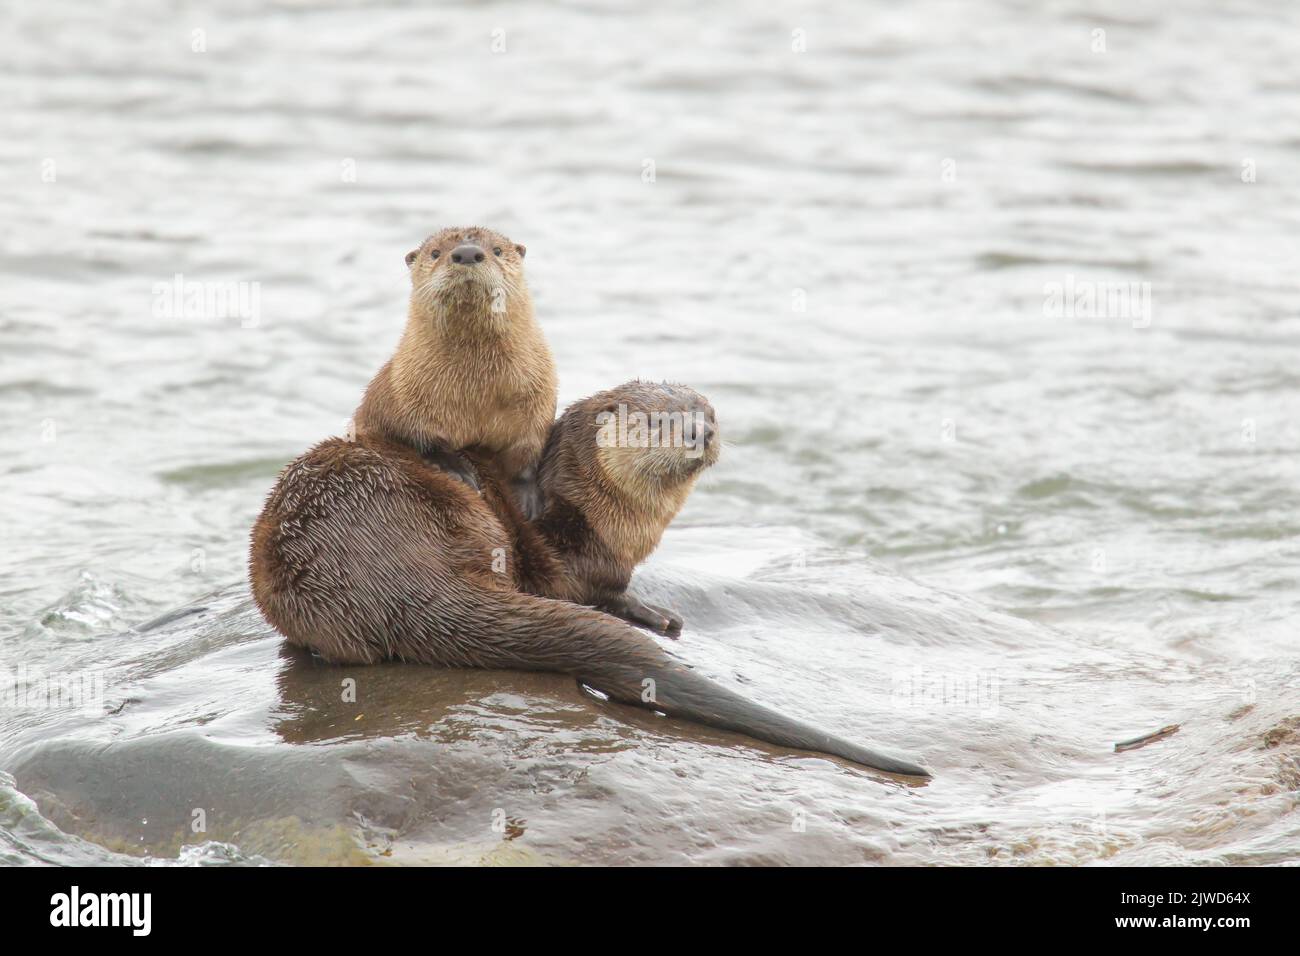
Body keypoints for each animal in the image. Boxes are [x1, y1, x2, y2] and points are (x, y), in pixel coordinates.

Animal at [248, 382, 930, 780]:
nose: (701, 431)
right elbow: (598, 591)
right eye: (656, 422)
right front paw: (656, 612)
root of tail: (390, 570)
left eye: (707, 412)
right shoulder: (579, 553)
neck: (608, 514)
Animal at [353, 227, 556, 515]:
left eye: (497, 250)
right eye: (435, 253)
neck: (477, 394)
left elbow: (527, 453)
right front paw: (456, 468)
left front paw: (529, 498)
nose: (468, 253)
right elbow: (418, 437)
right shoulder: (399, 394)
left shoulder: (538, 398)